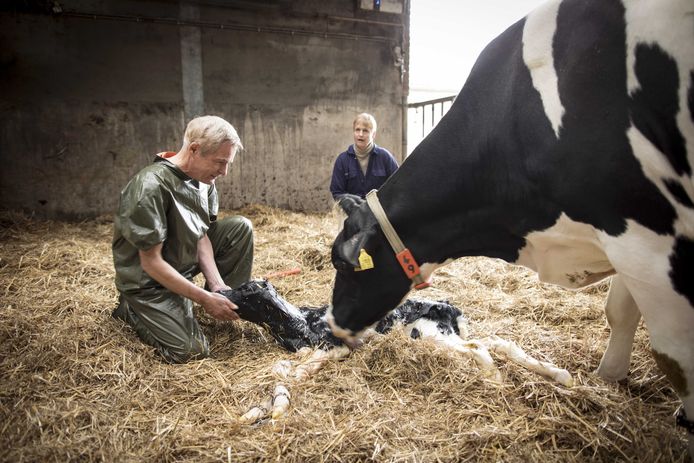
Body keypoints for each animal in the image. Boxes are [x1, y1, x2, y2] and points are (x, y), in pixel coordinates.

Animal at [328, 0, 694, 454]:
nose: (331, 324)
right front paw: (608, 379)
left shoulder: (644, 236)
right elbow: (620, 312)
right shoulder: (629, 241)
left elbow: (675, 354)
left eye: (341, 264)